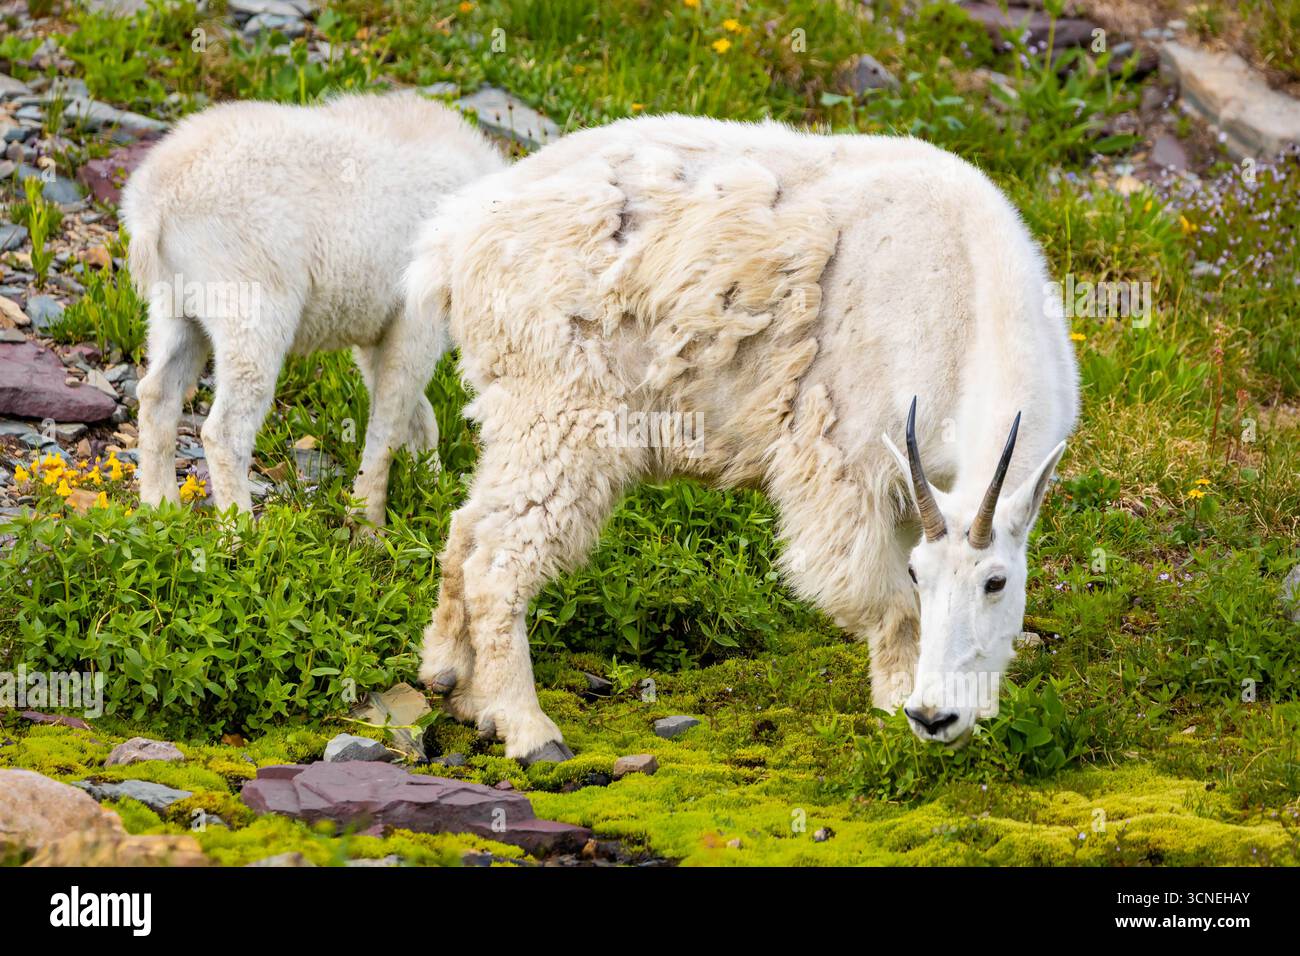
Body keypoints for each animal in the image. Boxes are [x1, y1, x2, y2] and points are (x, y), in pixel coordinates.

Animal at [123, 92, 504, 523]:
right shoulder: (415, 320)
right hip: (250, 308)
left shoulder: (380, 331)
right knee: (225, 431)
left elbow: (414, 414)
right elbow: (390, 423)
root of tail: (154, 206)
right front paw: (370, 523)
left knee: (157, 394)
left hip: (174, 307)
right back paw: (242, 529)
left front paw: (434, 489)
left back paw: (160, 508)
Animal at [403, 114, 1079, 763]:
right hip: (562, 412)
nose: (937, 716)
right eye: (921, 576)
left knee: (467, 526)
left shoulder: (920, 490)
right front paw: (896, 710)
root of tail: (454, 240)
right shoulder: (845, 462)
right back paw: (528, 729)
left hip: (521, 414)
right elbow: (891, 609)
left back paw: (455, 685)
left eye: (997, 581)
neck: (965, 289)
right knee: (499, 559)